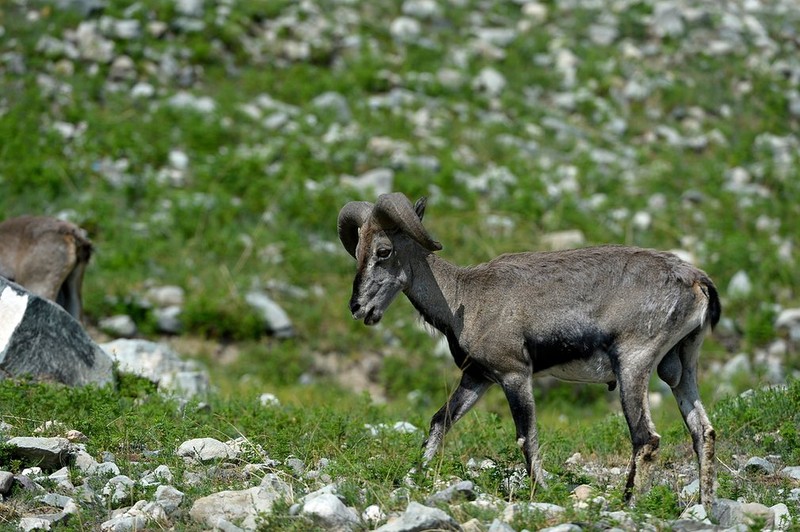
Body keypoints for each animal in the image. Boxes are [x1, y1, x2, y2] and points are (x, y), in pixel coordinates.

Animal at [338, 193, 720, 504]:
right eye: (357, 252)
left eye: (384, 251)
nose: (358, 308)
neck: (465, 298)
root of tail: (697, 280)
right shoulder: (477, 378)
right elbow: (440, 421)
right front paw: (417, 476)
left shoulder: (514, 374)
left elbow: (526, 437)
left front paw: (541, 491)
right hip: (681, 366)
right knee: (703, 431)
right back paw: (704, 504)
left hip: (633, 364)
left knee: (646, 439)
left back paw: (627, 503)